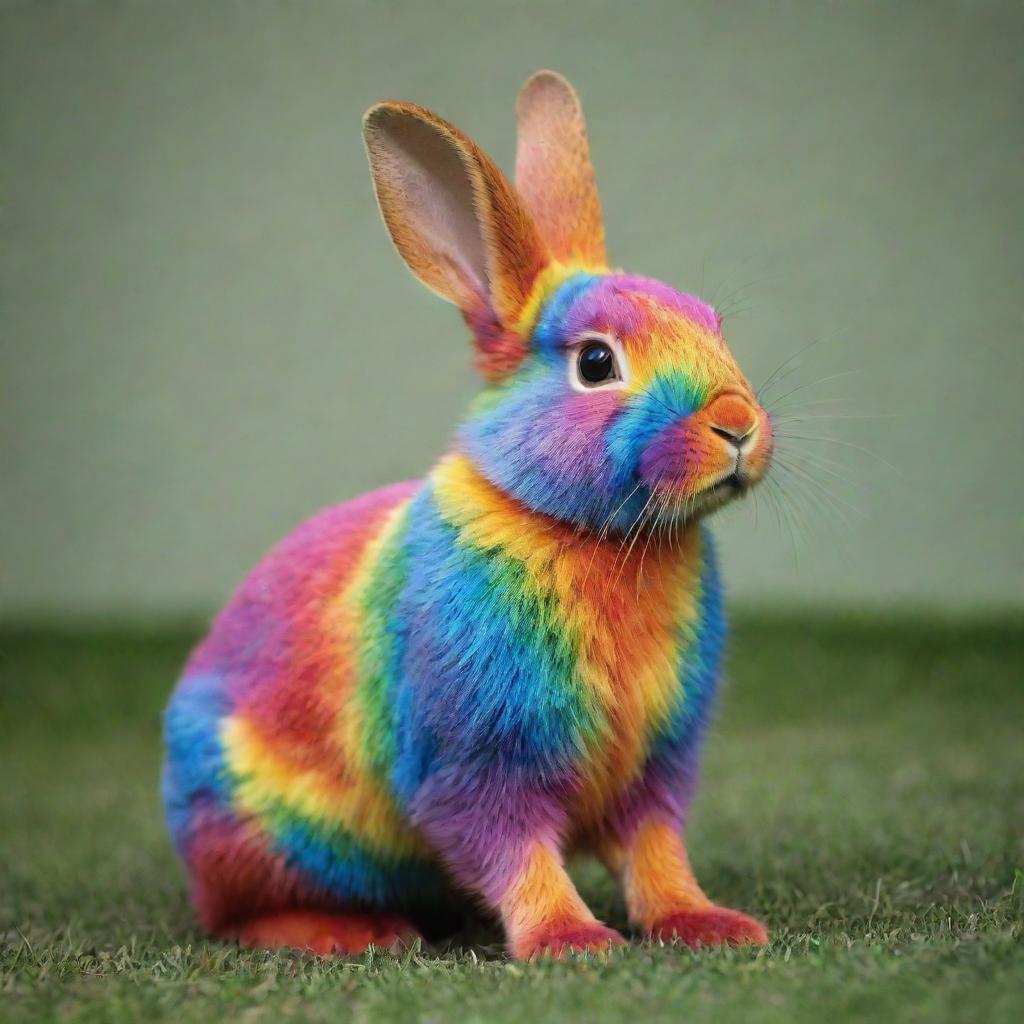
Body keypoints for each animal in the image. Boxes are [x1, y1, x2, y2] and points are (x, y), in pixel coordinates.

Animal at [163, 72, 774, 958]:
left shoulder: (654, 772)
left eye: (711, 322)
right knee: (237, 916)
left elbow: (657, 854)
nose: (738, 423)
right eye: (597, 362)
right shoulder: (475, 765)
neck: (588, 531)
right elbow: (518, 857)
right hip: (253, 830)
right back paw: (356, 933)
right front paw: (571, 942)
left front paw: (708, 924)